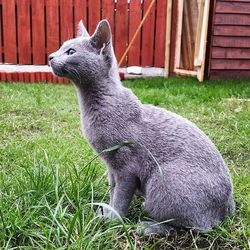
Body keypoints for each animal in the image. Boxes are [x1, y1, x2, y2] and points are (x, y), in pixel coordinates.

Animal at [48, 19, 234, 234]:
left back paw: (148, 226)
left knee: (196, 226)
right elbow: (112, 190)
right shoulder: (110, 166)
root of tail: (229, 206)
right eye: (60, 48)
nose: (50, 56)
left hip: (163, 180)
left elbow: (121, 196)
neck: (96, 102)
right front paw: (106, 210)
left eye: (70, 52)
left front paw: (114, 220)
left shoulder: (126, 166)